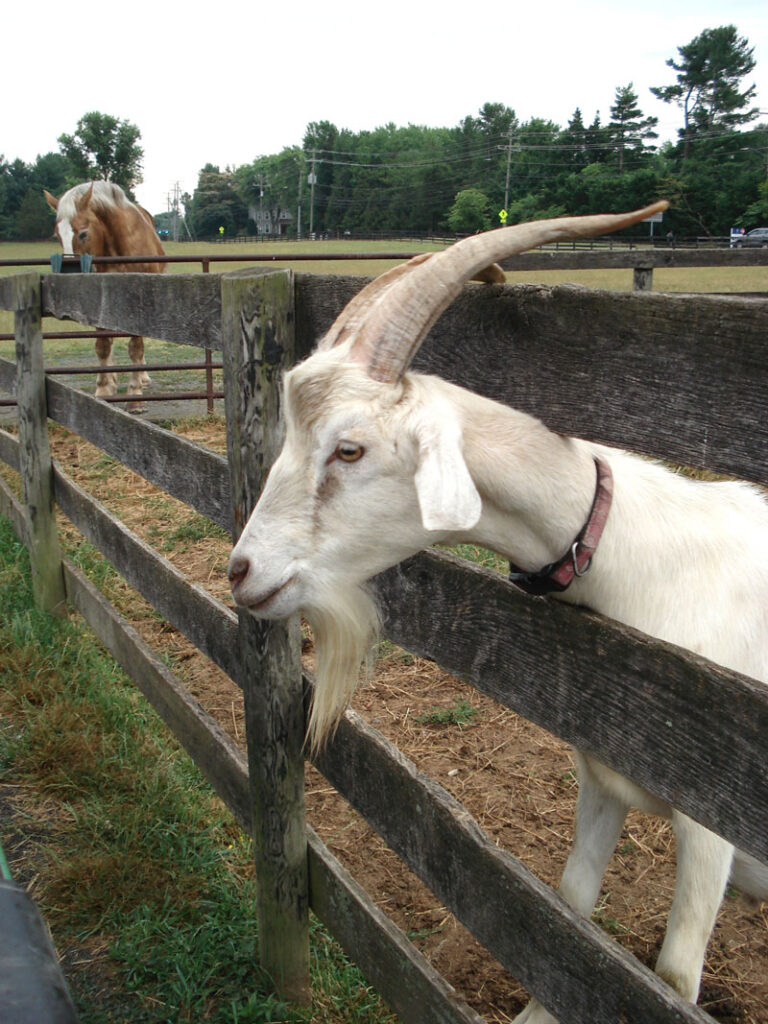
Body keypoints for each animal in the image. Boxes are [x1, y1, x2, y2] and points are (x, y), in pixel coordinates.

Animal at [227, 203, 768, 1022]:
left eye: (349, 450)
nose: (242, 572)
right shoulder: (601, 779)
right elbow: (570, 912)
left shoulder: (711, 823)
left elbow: (673, 978)